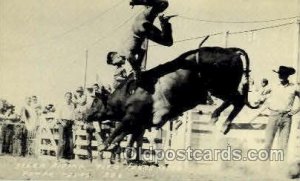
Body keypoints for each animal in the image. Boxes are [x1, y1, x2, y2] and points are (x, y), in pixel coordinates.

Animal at [84, 46, 258, 162]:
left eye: (95, 101)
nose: (85, 115)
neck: (131, 92)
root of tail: (231, 51)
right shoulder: (140, 123)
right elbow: (126, 137)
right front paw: (118, 154)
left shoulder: (132, 117)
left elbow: (118, 131)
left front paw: (104, 147)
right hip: (221, 89)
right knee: (238, 101)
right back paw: (222, 123)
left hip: (219, 87)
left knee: (237, 99)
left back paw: (218, 118)